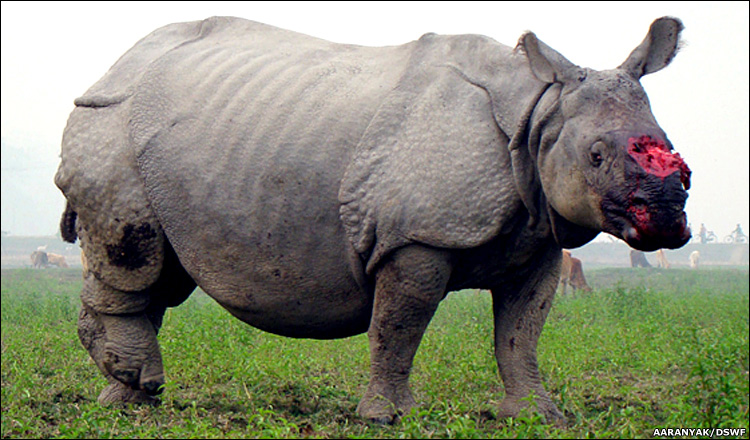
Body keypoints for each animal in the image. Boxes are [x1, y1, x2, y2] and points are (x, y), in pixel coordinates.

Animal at [55, 16, 691, 423]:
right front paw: (387, 417)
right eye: (596, 156)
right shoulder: (415, 238)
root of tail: (111, 67)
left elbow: (521, 329)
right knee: (135, 258)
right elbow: (399, 324)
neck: (538, 114)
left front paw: (538, 415)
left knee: (161, 273)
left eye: (672, 149)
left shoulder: (537, 238)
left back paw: (129, 398)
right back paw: (133, 387)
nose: (668, 221)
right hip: (109, 122)